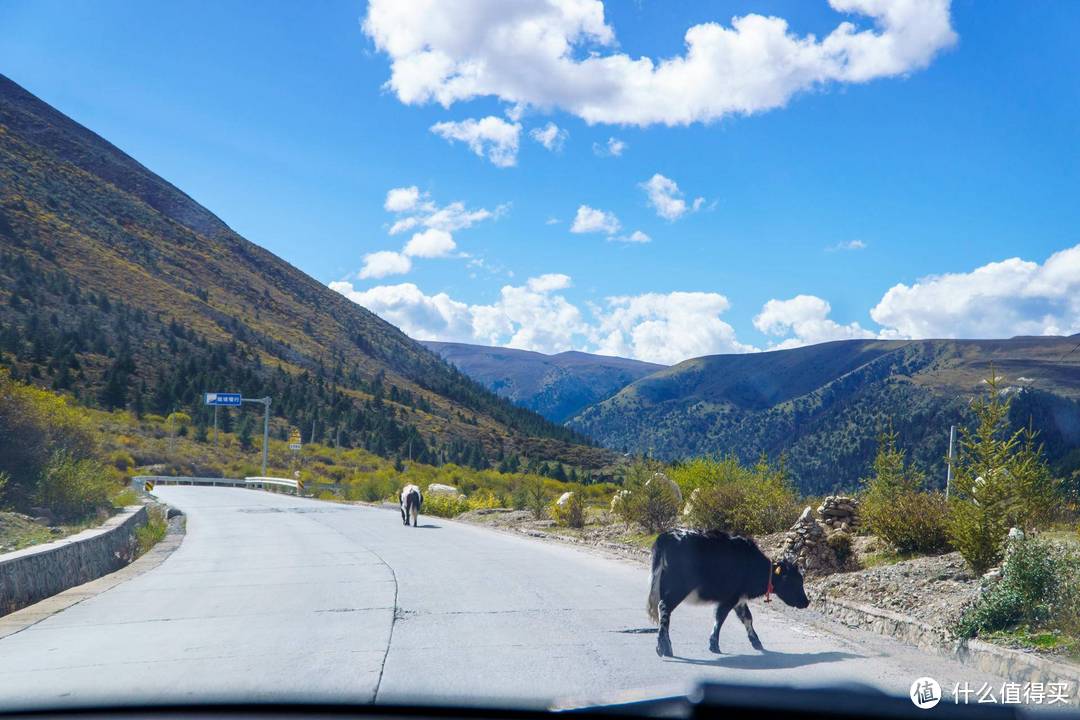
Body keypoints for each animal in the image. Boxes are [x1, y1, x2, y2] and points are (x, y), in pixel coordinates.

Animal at [643, 528, 807, 660]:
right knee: (664, 608)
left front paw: (756, 642)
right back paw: (665, 647)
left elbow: (747, 618)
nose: (807, 602)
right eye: (794, 581)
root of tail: (666, 536)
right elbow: (720, 618)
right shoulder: (730, 598)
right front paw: (714, 645)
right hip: (678, 588)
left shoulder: (739, 598)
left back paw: (663, 646)